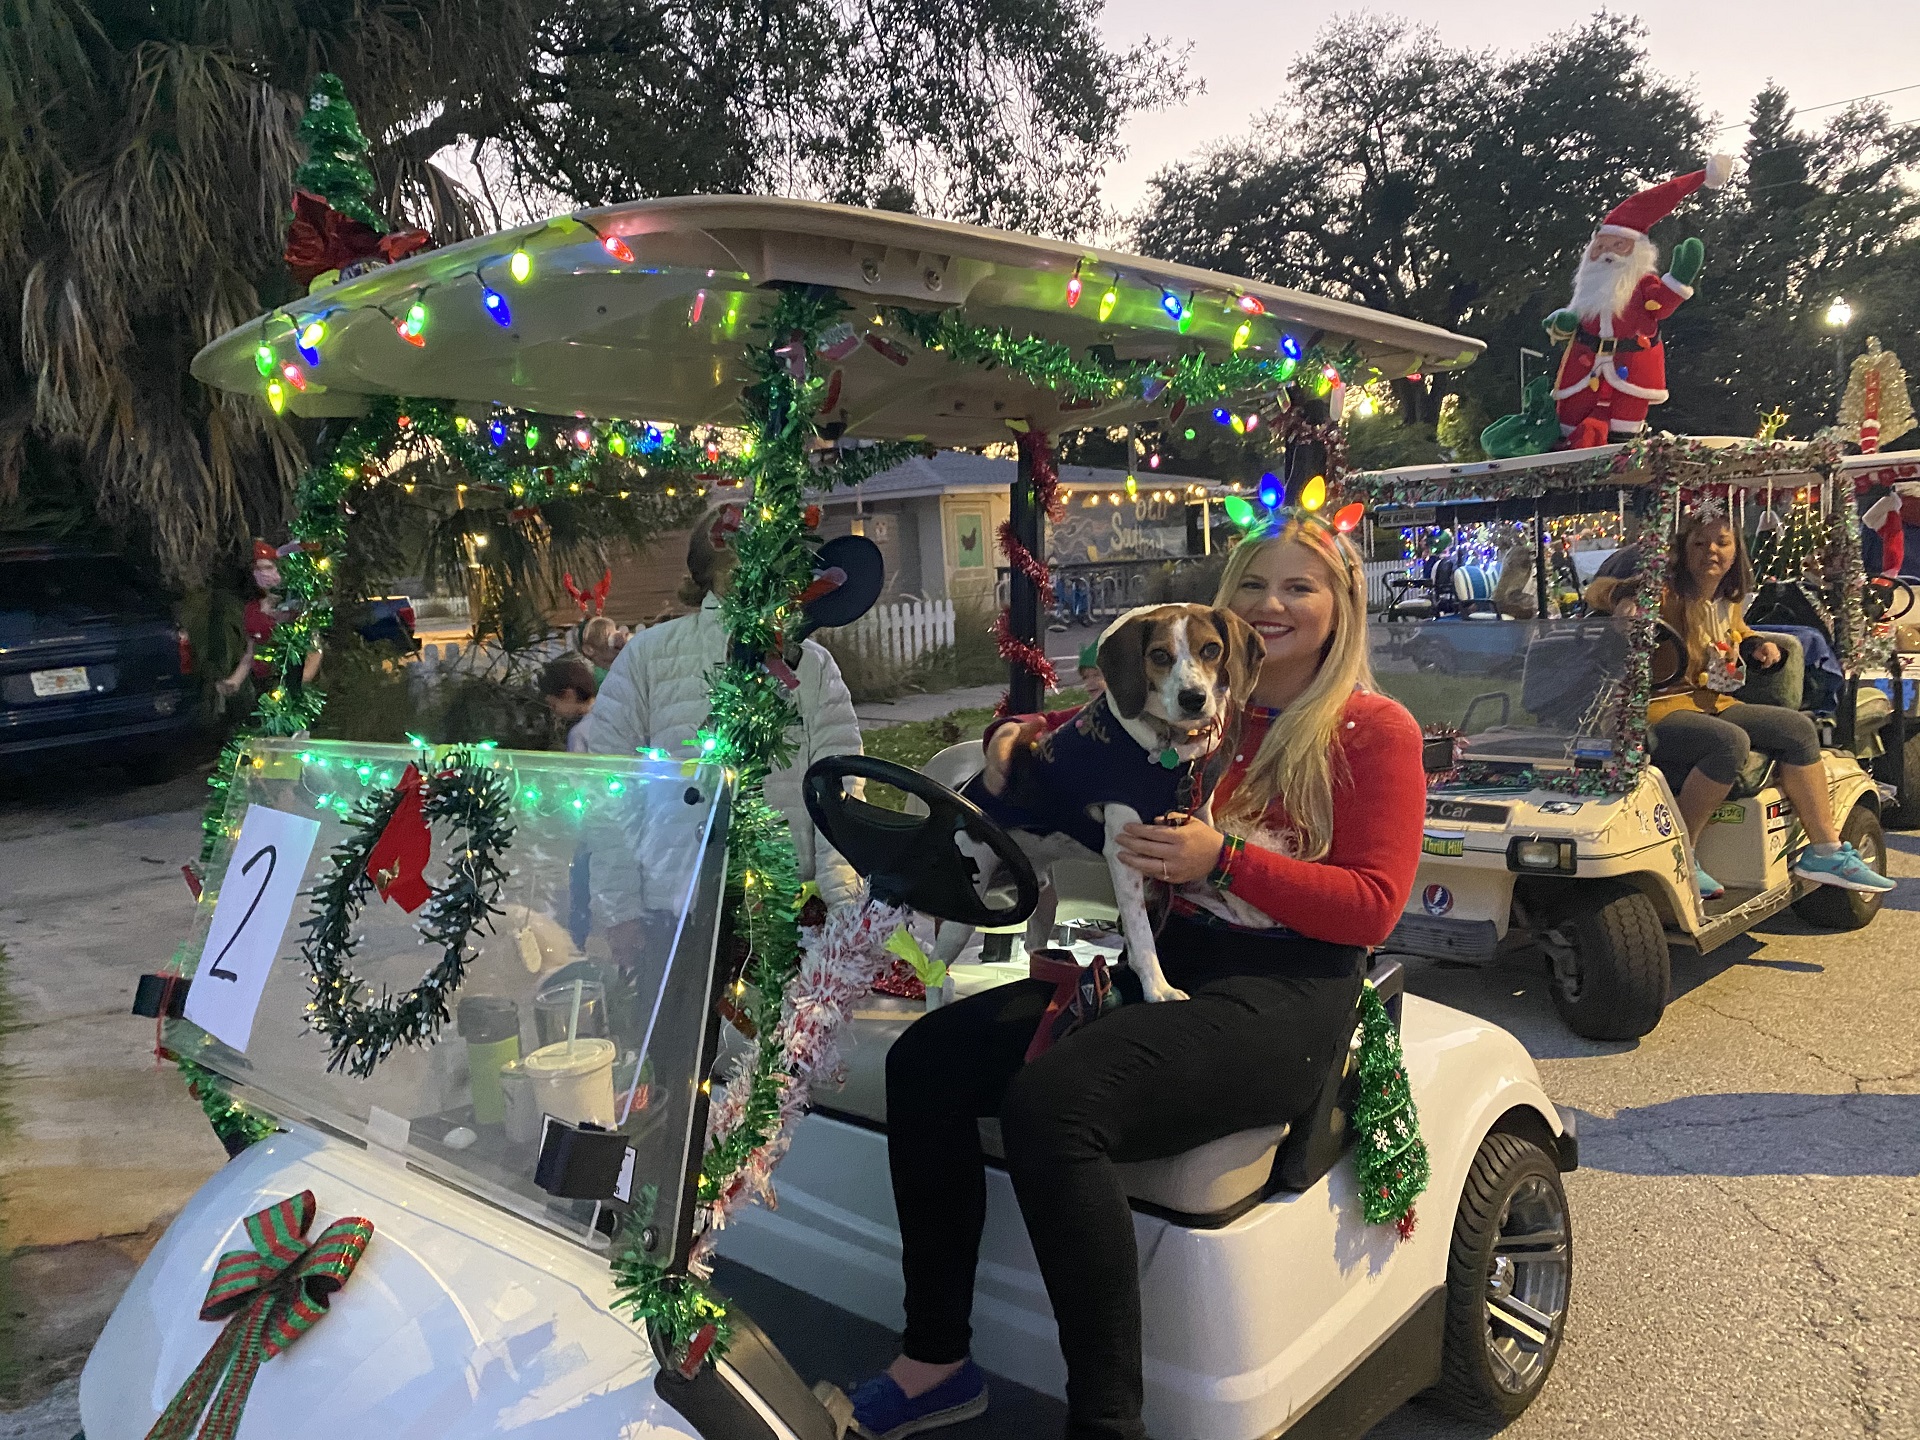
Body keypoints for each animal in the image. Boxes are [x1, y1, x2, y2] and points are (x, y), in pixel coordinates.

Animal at [956, 599, 1259, 1006]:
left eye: (1211, 649)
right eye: (1159, 655)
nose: (1193, 699)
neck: (1168, 751)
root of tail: (964, 793)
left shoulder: (1198, 821)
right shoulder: (1124, 853)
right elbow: (1141, 931)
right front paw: (1157, 988)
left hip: (1043, 901)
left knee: (1037, 948)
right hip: (963, 910)